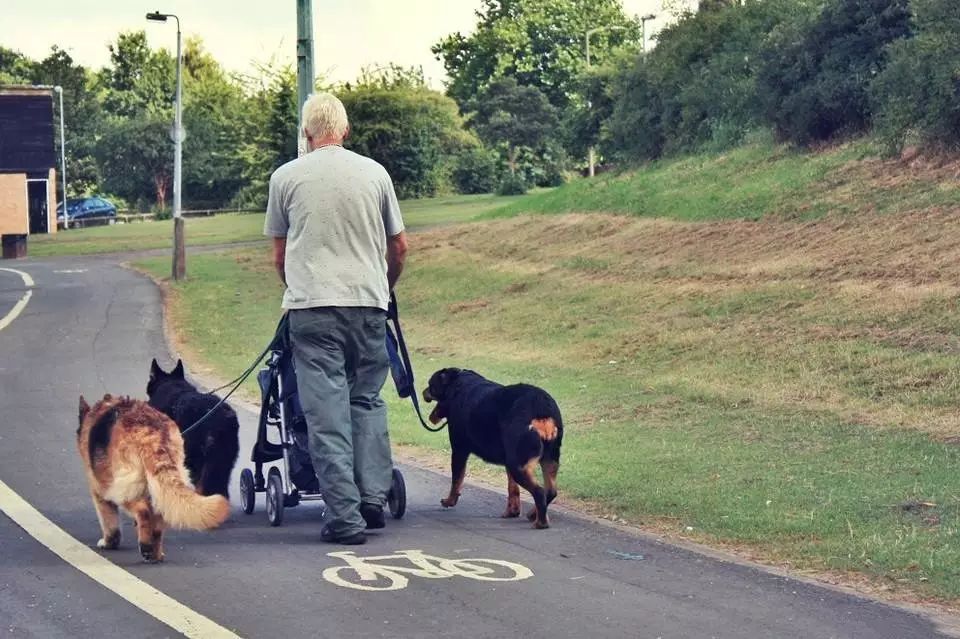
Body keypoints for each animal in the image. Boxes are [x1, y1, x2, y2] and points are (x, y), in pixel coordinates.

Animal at [422, 370, 564, 528]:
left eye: (430, 385)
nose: (423, 392)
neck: (456, 385)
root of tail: (542, 410)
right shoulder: (508, 459)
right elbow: (512, 489)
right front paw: (512, 512)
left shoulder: (459, 450)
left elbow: (456, 480)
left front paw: (449, 501)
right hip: (547, 458)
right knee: (550, 491)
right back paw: (534, 514)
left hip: (518, 464)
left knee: (539, 491)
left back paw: (541, 523)